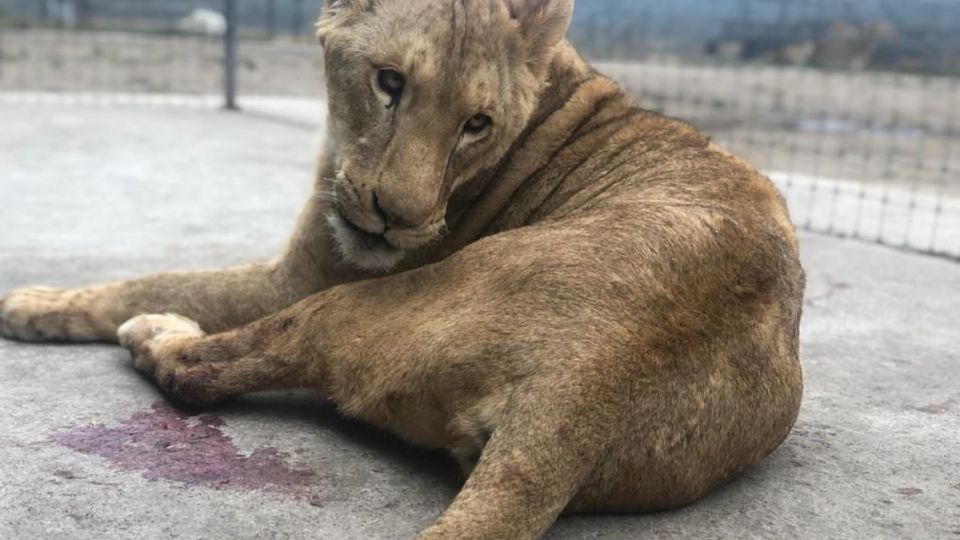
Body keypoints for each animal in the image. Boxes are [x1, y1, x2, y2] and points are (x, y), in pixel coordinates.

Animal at [0, 2, 808, 536]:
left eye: (476, 123)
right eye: (388, 83)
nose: (397, 217)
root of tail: (581, 401)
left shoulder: (302, 280)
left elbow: (149, 278)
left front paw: (31, 302)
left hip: (358, 306)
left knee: (200, 370)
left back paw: (158, 333)